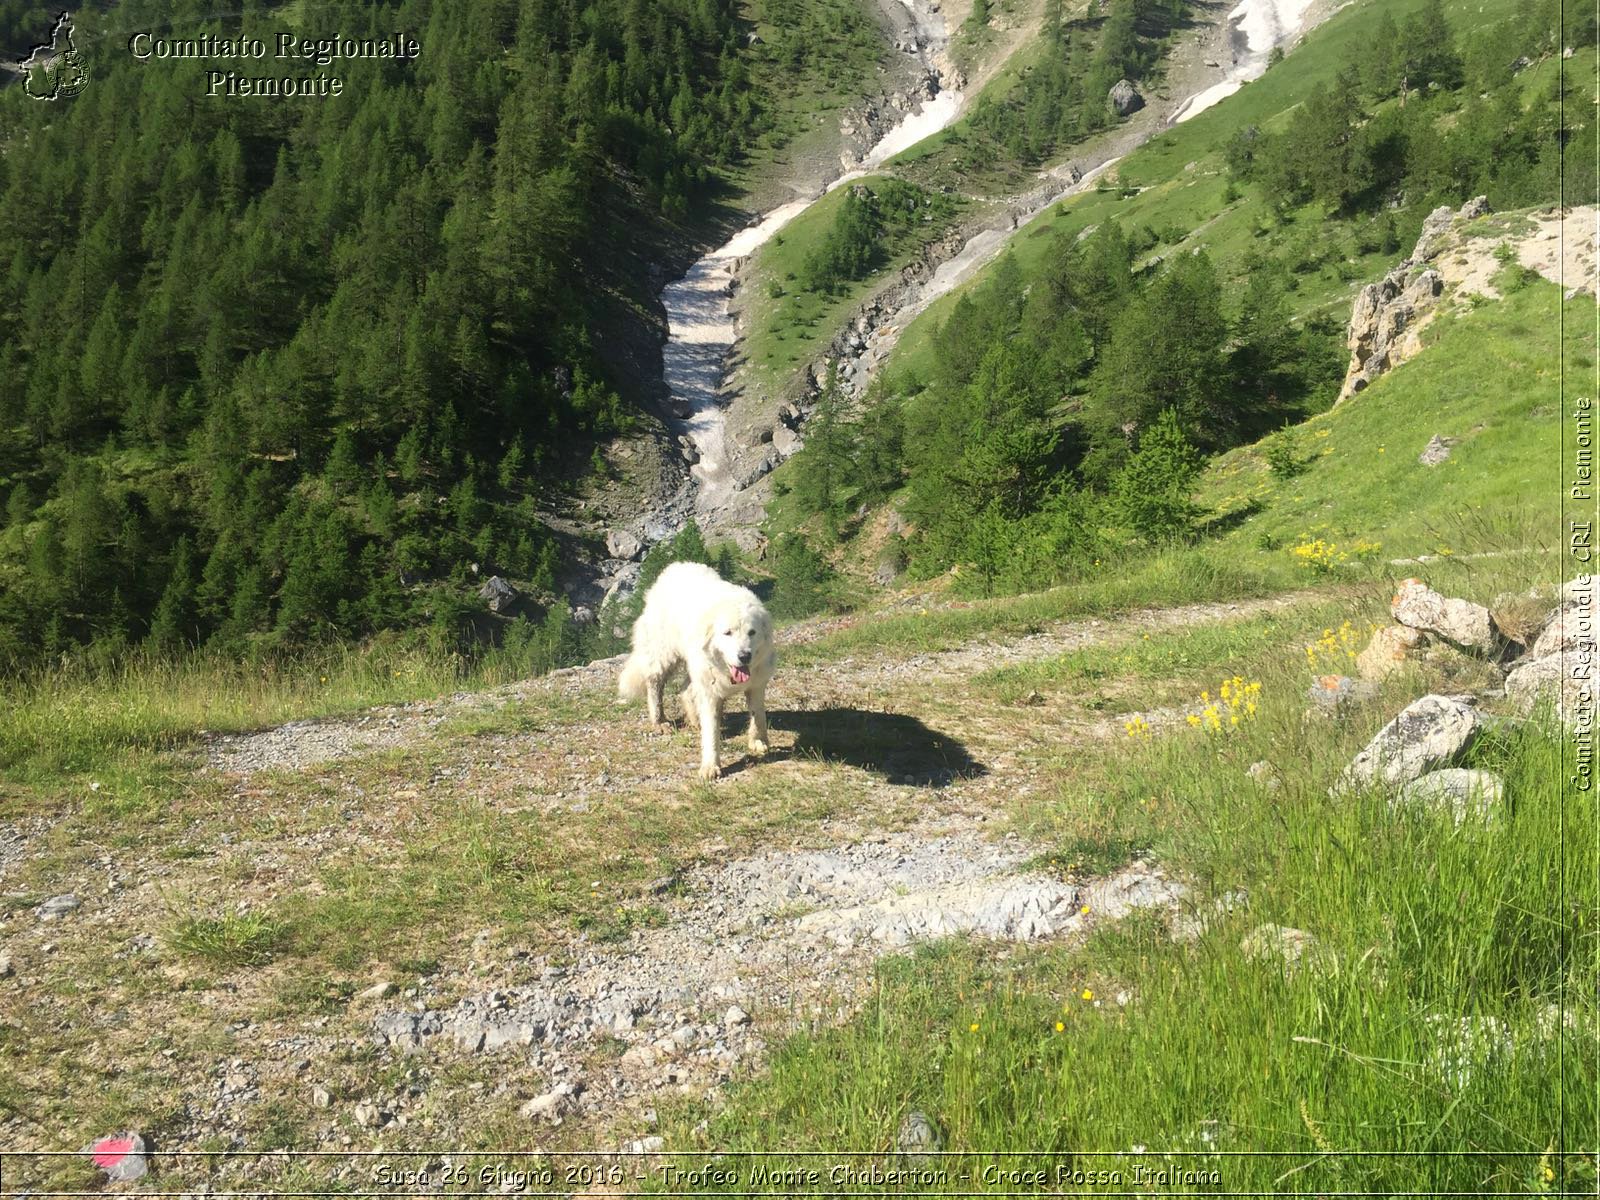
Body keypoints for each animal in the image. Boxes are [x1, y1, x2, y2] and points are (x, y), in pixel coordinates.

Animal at [617, 563, 774, 784]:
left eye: (752, 633)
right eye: (727, 633)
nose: (744, 656)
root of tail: (674, 566)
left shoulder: (757, 684)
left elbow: (757, 715)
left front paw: (758, 741)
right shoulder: (710, 692)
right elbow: (711, 732)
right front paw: (710, 766)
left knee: (685, 690)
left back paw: (694, 719)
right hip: (664, 654)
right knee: (655, 684)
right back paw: (660, 721)